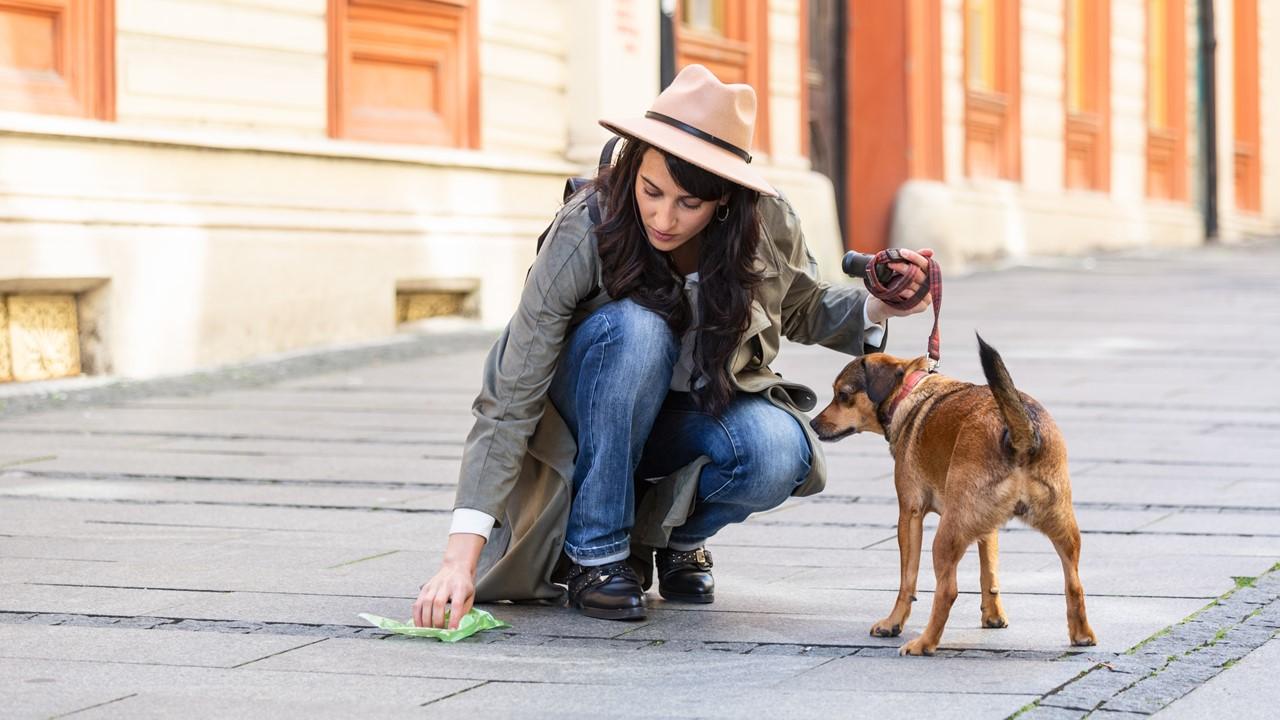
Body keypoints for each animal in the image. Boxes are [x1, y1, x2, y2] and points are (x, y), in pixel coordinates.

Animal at [814, 333, 1095, 653]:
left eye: (842, 395)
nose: (812, 423)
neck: (908, 392)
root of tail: (1020, 434)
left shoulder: (909, 513)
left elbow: (907, 580)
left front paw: (892, 623)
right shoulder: (987, 527)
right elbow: (989, 572)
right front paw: (993, 616)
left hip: (947, 533)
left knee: (947, 590)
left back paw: (924, 643)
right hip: (1062, 525)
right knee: (1074, 583)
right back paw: (1082, 635)